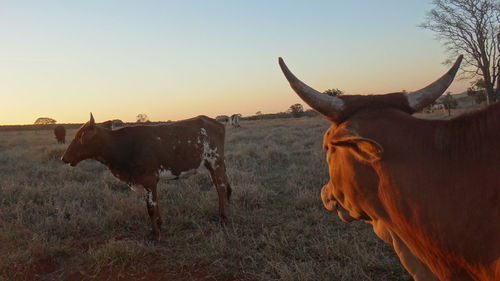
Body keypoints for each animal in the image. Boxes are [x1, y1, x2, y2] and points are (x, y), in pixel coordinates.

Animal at [61, 112, 231, 240]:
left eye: (81, 136)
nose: (64, 158)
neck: (122, 146)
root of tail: (214, 121)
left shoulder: (149, 180)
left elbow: (150, 207)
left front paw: (155, 234)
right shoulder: (151, 181)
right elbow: (155, 203)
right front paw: (160, 224)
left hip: (216, 162)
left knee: (221, 188)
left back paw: (223, 217)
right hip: (210, 165)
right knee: (219, 187)